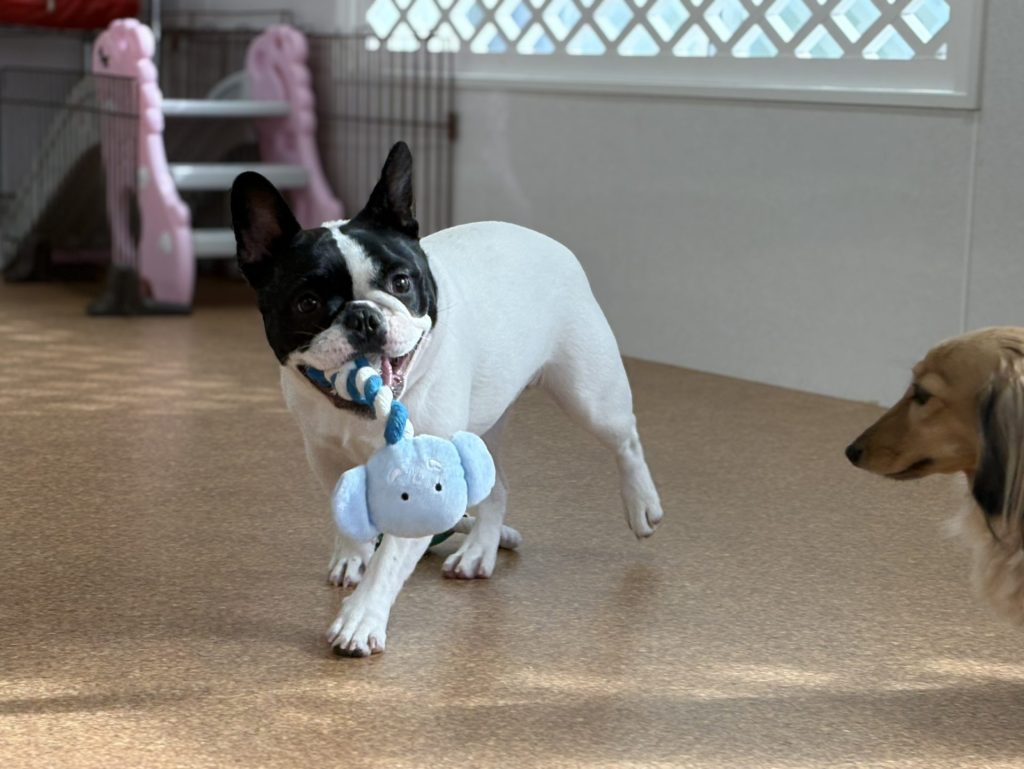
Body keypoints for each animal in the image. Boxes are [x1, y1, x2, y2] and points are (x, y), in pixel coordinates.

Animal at [231, 142, 664, 656]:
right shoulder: (325, 455)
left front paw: (361, 617)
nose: (362, 316)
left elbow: (390, 562)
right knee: (497, 488)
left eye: (400, 283)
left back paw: (641, 505)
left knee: (626, 439)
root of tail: (545, 240)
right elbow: (346, 512)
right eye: (307, 303)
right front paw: (352, 554)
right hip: (485, 423)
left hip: (588, 391)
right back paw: (479, 550)